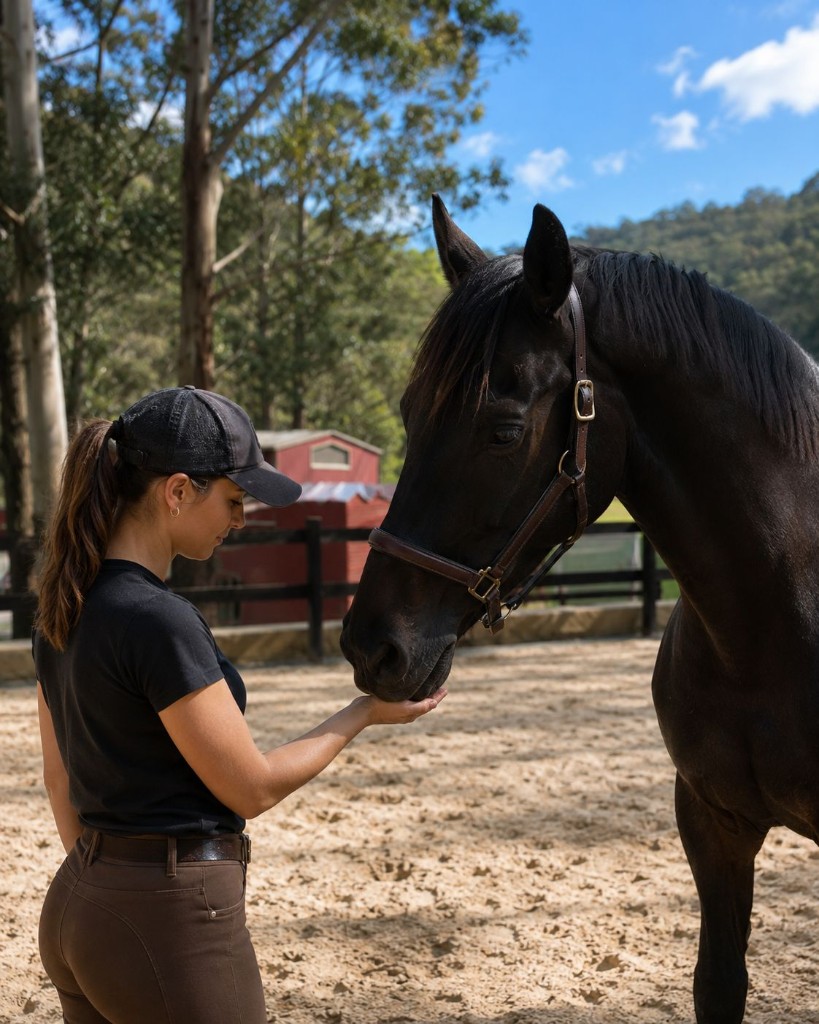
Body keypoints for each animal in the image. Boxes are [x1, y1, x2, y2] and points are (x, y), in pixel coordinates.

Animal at [339, 194, 819, 1023]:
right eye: (407, 413)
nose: (372, 647)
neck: (770, 625)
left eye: (503, 429)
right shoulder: (711, 824)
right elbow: (717, 985)